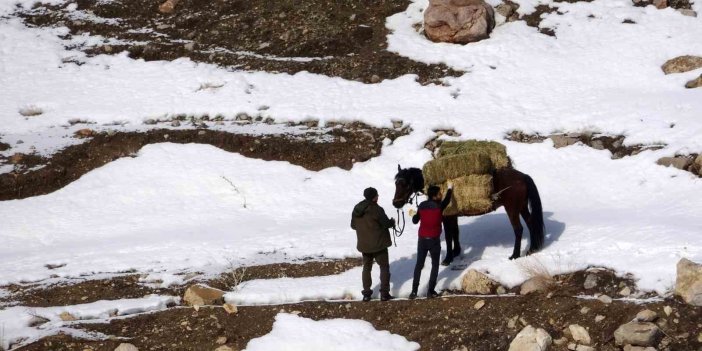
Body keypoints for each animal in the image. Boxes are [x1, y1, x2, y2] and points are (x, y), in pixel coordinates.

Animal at [394, 166, 548, 262]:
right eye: (396, 183)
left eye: (404, 184)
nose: (395, 203)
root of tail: (523, 176)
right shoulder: (452, 216)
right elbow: (455, 232)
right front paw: (456, 251)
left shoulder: (446, 216)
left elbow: (449, 236)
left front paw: (448, 258)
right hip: (522, 207)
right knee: (531, 224)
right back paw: (531, 249)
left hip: (512, 209)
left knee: (518, 229)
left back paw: (515, 255)